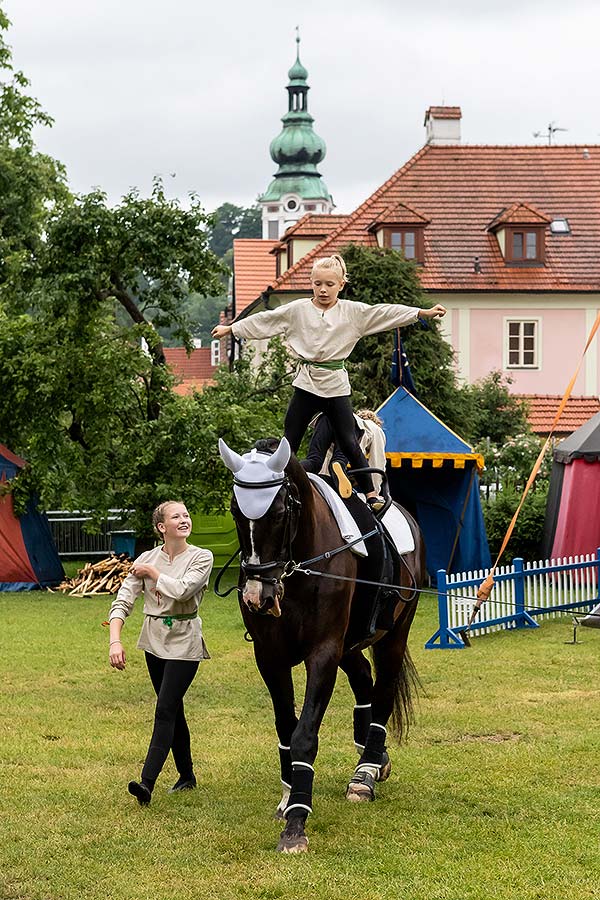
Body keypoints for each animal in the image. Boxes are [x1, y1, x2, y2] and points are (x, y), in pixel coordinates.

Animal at [218, 440, 424, 856]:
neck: (298, 569)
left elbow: (304, 734)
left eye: (280, 512)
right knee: (364, 679)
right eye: (235, 511)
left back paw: (366, 772)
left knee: (384, 689)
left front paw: (296, 823)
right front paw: (287, 798)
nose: (257, 598)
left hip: (393, 635)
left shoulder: (323, 653)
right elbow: (286, 727)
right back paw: (374, 755)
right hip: (349, 645)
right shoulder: (270, 656)